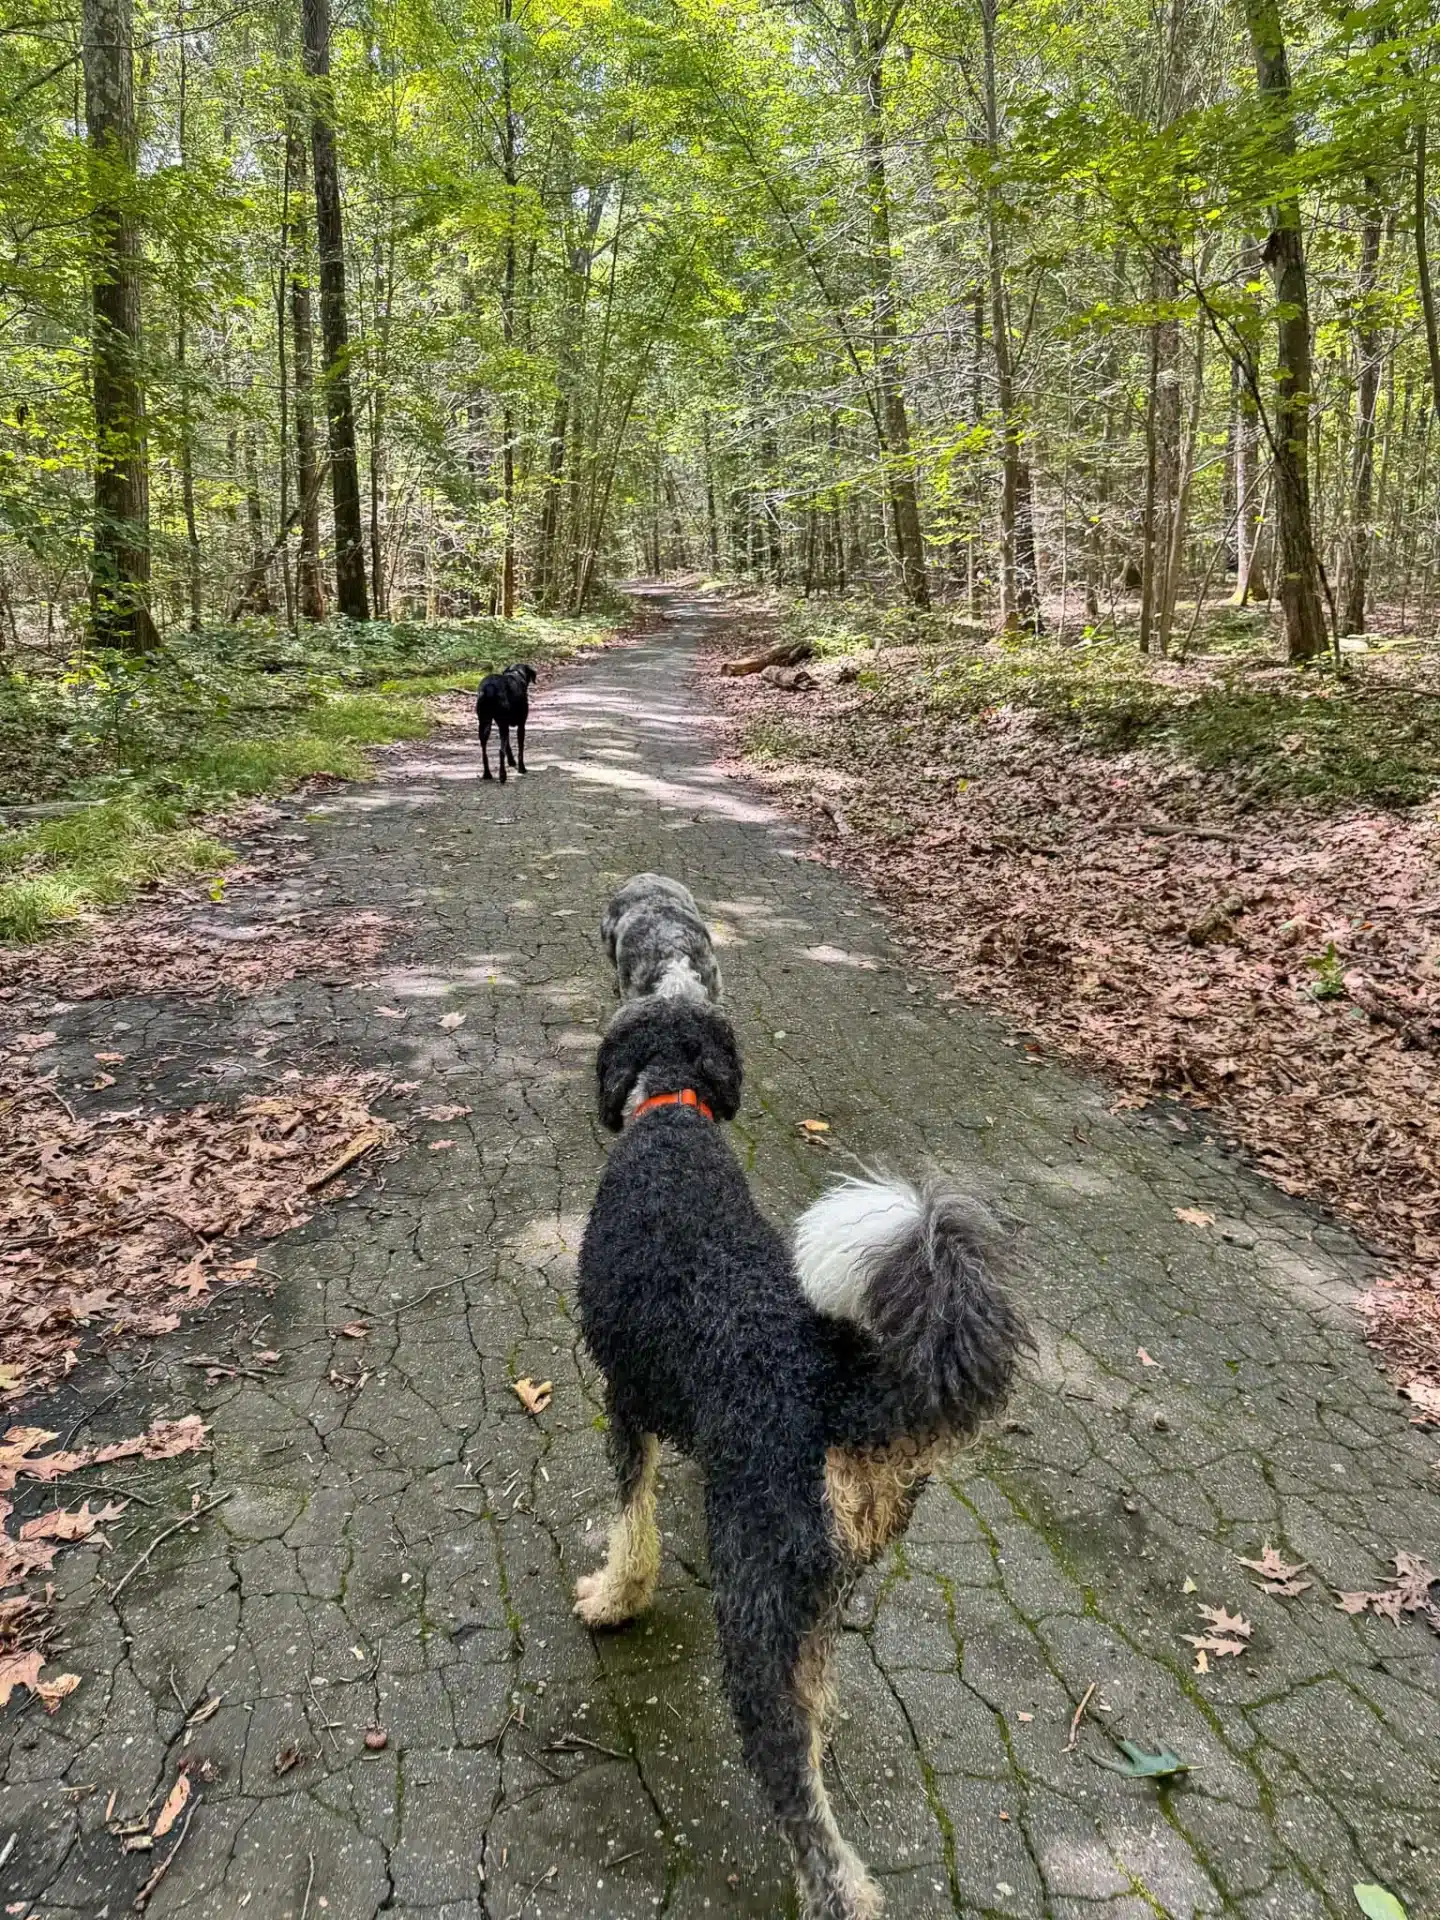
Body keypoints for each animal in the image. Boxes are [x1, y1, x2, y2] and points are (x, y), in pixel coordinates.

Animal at [576, 879, 1029, 1912]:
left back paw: (838, 1889)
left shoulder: (624, 1397)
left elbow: (632, 1520)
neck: (673, 1113)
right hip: (819, 1586)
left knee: (790, 1774)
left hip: (756, 1600)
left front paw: (615, 1596)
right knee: (812, 1700)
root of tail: (844, 1391)